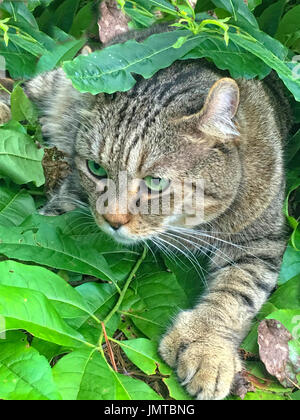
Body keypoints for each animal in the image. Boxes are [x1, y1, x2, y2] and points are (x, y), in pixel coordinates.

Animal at [0, 26, 290, 400]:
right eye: (96, 168)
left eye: (155, 182)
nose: (112, 220)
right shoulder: (72, 194)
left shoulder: (262, 236)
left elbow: (237, 290)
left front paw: (207, 346)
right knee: (22, 88)